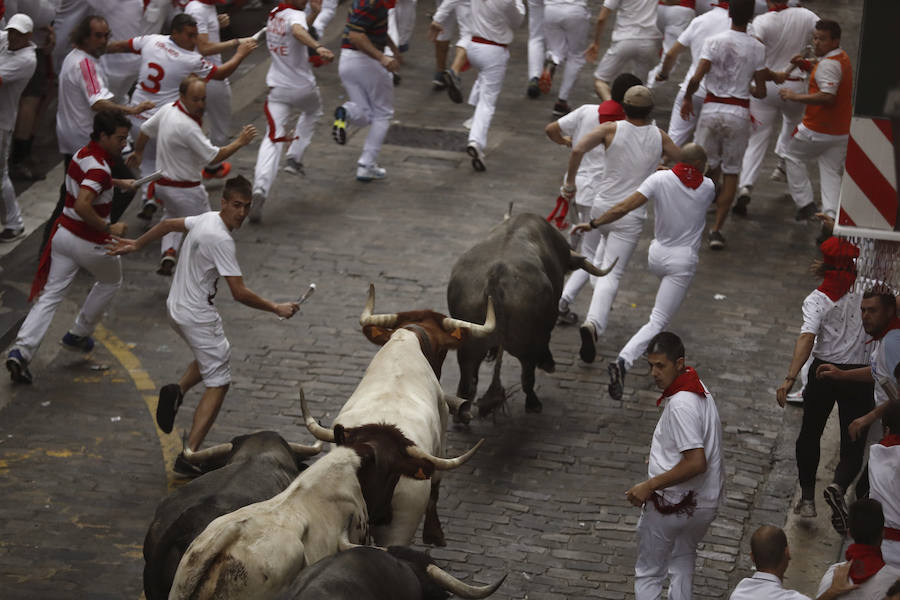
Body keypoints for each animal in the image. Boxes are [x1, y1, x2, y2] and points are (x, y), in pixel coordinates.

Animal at [306, 286, 496, 548]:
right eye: (443, 351)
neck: (409, 338)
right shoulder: (441, 438)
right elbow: (436, 486)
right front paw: (434, 534)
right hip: (402, 523)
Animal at [446, 213, 616, 414]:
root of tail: (495, 277)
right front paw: (547, 362)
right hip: (526, 344)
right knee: (527, 375)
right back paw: (534, 402)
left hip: (468, 347)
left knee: (467, 382)